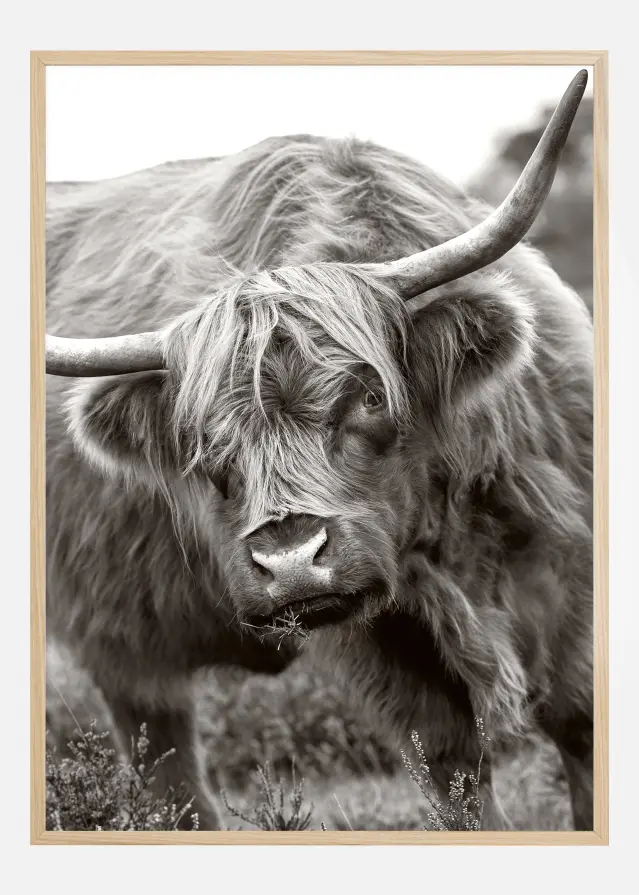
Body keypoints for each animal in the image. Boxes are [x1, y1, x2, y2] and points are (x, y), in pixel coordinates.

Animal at [45, 70, 593, 831]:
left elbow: (579, 724)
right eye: (203, 441)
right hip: (119, 643)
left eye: (368, 397)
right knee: (168, 773)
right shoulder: (387, 645)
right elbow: (455, 772)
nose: (290, 561)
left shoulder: (570, 570)